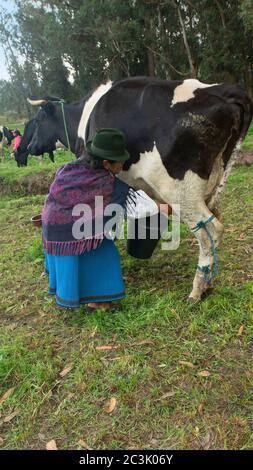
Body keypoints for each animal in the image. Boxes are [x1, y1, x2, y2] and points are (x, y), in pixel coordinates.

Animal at [26, 75, 252, 300]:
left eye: (37, 121)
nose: (29, 147)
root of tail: (221, 90)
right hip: (213, 182)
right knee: (215, 220)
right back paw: (208, 284)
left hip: (181, 192)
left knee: (210, 232)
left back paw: (196, 291)